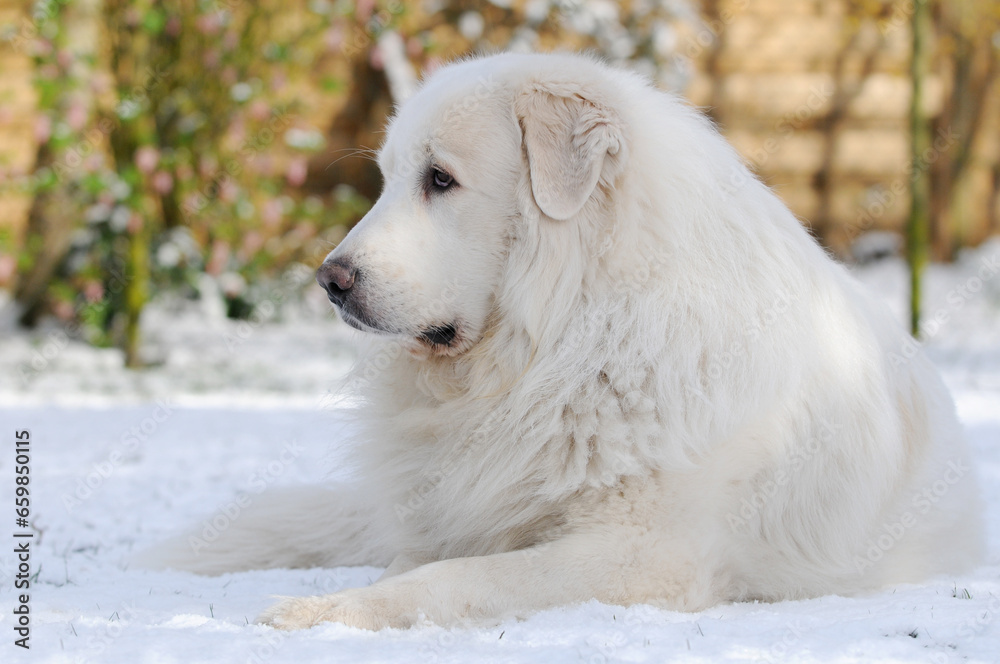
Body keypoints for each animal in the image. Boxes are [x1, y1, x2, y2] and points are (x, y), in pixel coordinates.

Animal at [145, 52, 980, 628]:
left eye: (440, 180)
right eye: (386, 179)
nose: (330, 279)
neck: (571, 337)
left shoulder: (642, 554)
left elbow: (455, 579)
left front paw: (324, 614)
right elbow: (414, 564)